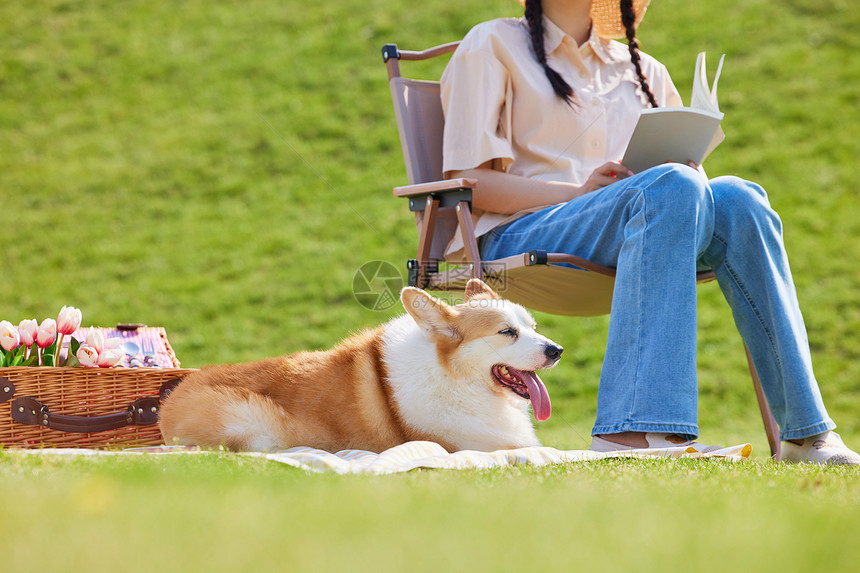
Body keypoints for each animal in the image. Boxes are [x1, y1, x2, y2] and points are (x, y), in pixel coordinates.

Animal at [159, 280, 564, 454]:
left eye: (533, 327)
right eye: (506, 332)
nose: (557, 350)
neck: (452, 375)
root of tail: (167, 403)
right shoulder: (479, 447)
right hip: (253, 422)